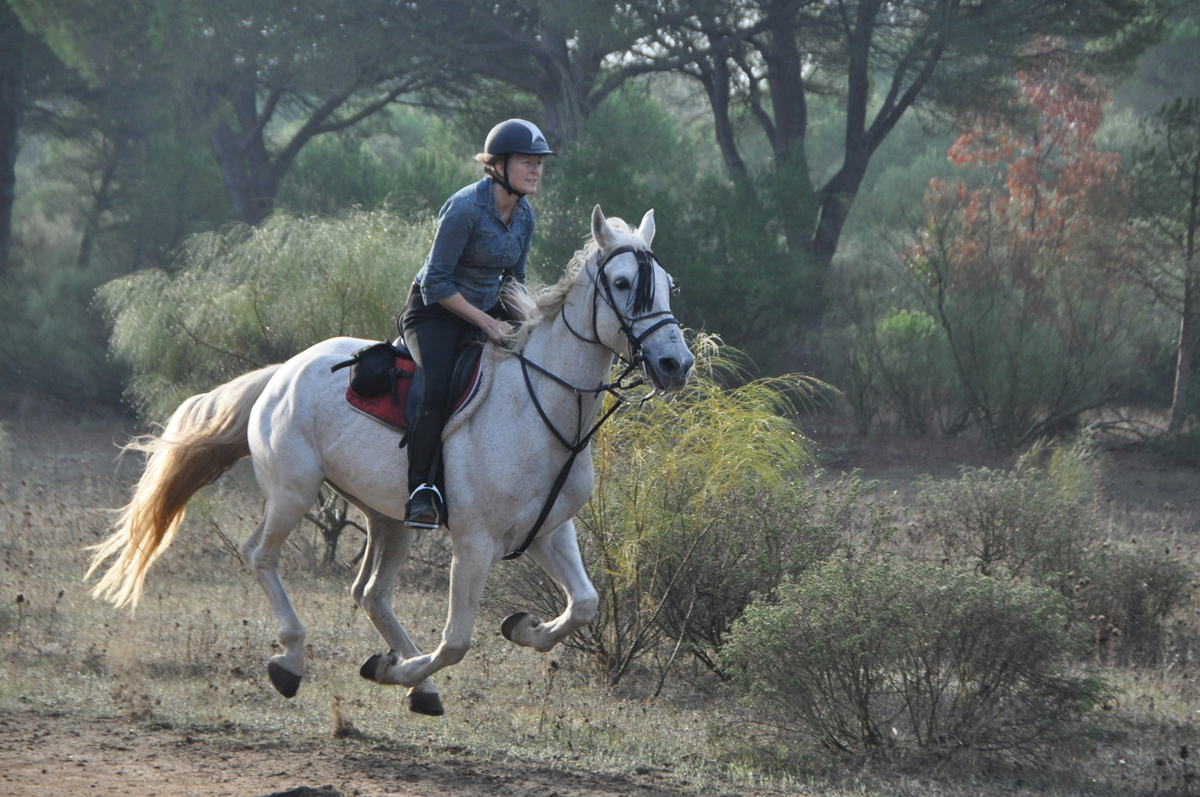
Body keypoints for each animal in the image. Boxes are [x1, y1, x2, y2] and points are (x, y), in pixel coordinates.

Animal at [87, 205, 696, 715]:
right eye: (623, 284)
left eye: (667, 284)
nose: (676, 364)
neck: (540, 405)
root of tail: (284, 370)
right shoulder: (475, 543)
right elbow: (456, 641)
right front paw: (397, 670)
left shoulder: (550, 530)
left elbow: (584, 604)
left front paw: (518, 628)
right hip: (293, 492)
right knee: (260, 554)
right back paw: (292, 661)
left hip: (392, 517)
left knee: (372, 594)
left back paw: (409, 679)